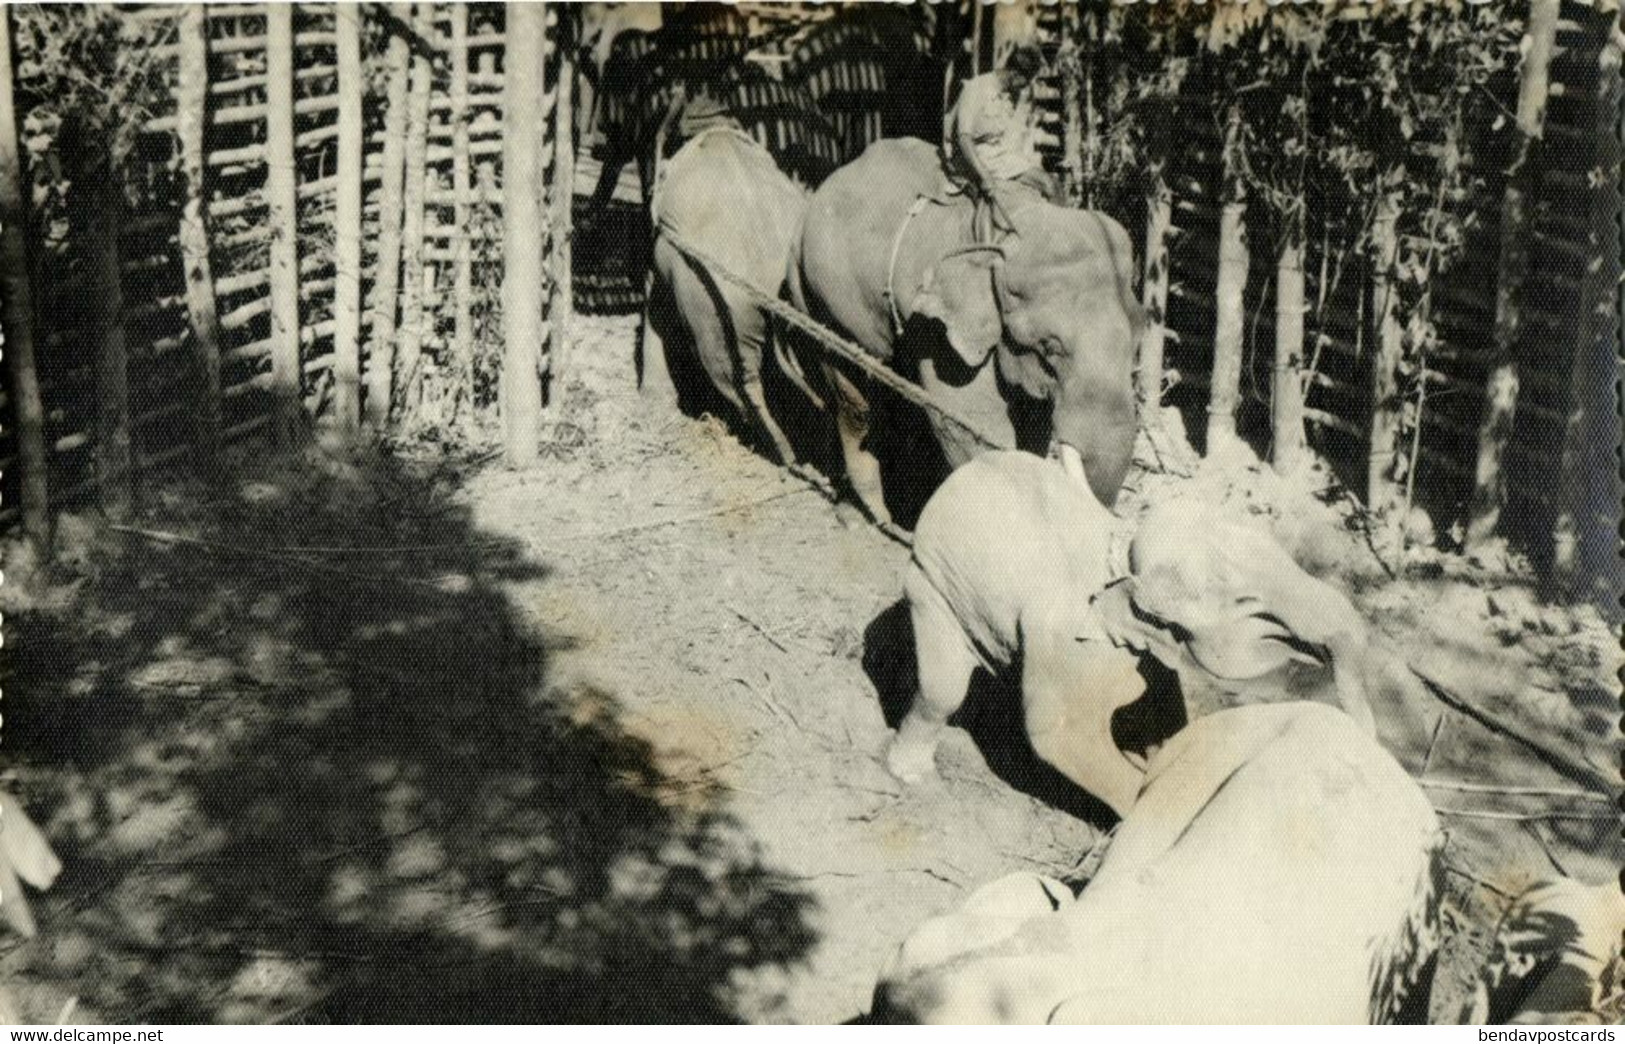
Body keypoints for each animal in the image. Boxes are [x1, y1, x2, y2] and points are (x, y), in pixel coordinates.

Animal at [786, 136, 1144, 526]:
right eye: (1049, 348)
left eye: (1137, 343)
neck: (1007, 228)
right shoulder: (939, 331)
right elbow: (972, 426)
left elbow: (1031, 425)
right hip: (819, 302)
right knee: (854, 399)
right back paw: (866, 515)